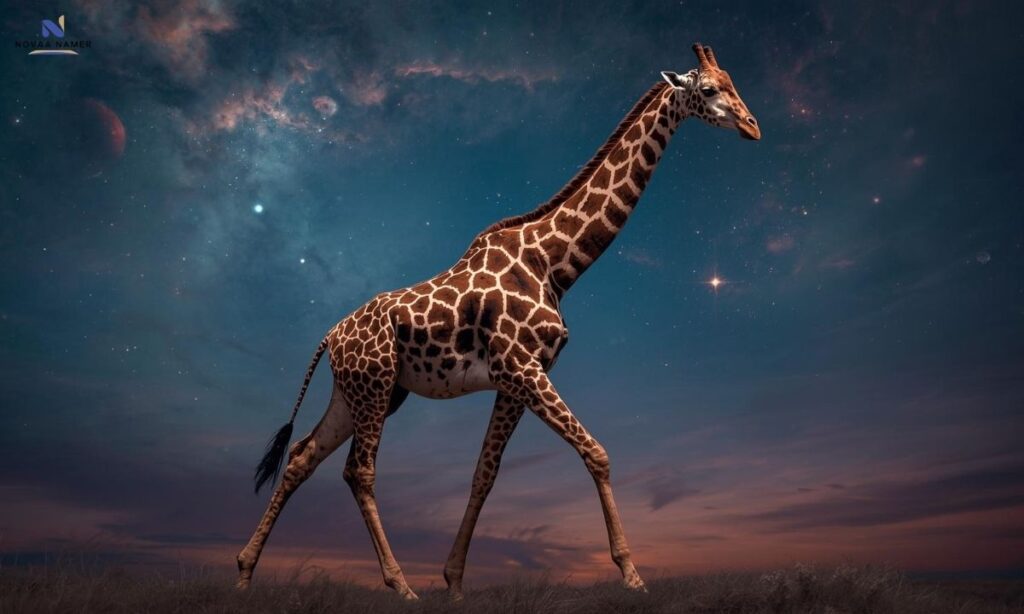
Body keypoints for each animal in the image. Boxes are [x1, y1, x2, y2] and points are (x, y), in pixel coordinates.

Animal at [236, 43, 760, 600]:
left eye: (733, 82)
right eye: (709, 88)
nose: (752, 126)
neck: (555, 264)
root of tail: (329, 337)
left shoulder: (518, 378)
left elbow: (484, 474)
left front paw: (454, 583)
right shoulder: (520, 367)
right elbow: (596, 452)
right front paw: (632, 574)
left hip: (360, 391)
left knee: (302, 457)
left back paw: (245, 572)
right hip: (374, 386)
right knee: (359, 471)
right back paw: (400, 585)